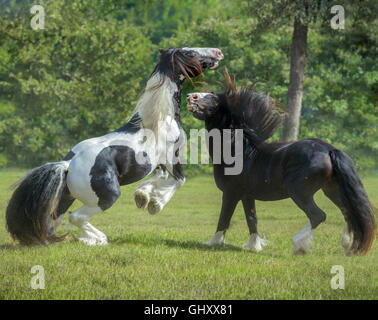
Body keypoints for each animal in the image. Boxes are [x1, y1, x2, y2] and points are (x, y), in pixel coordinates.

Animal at [5, 47, 223, 246]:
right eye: (190, 53)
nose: (218, 52)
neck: (159, 120)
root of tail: (67, 165)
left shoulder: (158, 164)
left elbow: (159, 178)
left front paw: (143, 196)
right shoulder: (171, 157)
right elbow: (178, 181)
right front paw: (154, 204)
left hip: (66, 197)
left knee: (55, 219)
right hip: (107, 197)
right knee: (75, 217)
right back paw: (98, 239)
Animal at [188, 78, 376, 255]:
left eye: (214, 99)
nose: (191, 96)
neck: (239, 151)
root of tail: (329, 150)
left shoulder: (231, 193)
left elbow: (224, 218)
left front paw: (212, 243)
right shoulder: (247, 195)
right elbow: (252, 219)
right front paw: (254, 246)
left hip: (299, 191)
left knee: (318, 215)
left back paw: (299, 245)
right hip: (332, 189)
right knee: (347, 212)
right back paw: (347, 244)